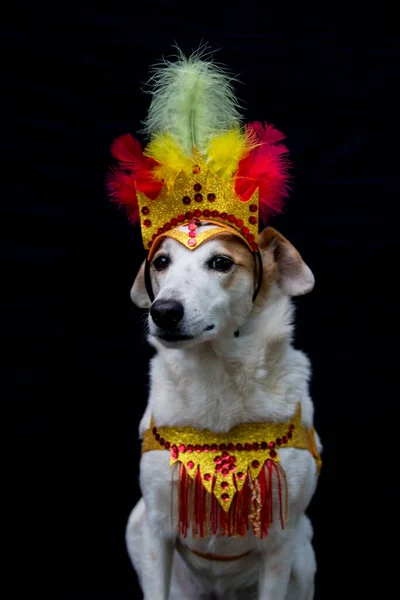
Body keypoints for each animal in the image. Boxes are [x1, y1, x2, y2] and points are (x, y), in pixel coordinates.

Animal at [125, 223, 322, 596]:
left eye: (221, 262)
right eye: (160, 262)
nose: (163, 311)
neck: (216, 375)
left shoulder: (280, 543)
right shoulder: (156, 531)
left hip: (303, 558)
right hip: (136, 524)